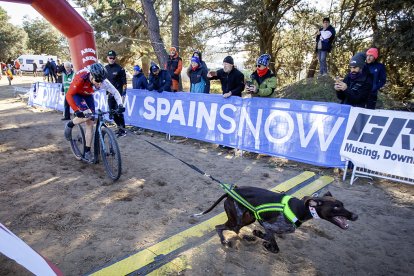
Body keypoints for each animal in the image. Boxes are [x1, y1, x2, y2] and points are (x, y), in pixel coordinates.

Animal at [192, 187, 358, 253]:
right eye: (336, 207)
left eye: (342, 204)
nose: (355, 216)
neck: (299, 208)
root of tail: (230, 193)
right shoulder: (267, 224)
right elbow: (275, 247)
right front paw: (266, 244)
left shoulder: (268, 227)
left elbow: (268, 237)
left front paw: (257, 236)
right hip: (237, 222)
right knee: (219, 227)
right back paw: (224, 241)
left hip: (247, 219)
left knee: (230, 229)